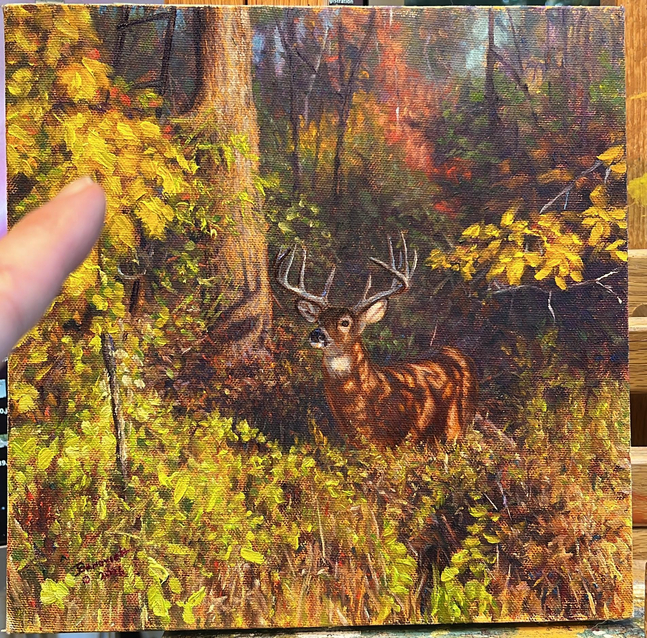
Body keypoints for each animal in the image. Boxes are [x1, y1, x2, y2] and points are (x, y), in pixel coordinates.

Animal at [275, 235, 477, 449]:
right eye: (319, 320)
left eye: (345, 322)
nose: (316, 334)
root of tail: (458, 353)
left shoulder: (401, 440)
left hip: (458, 425)